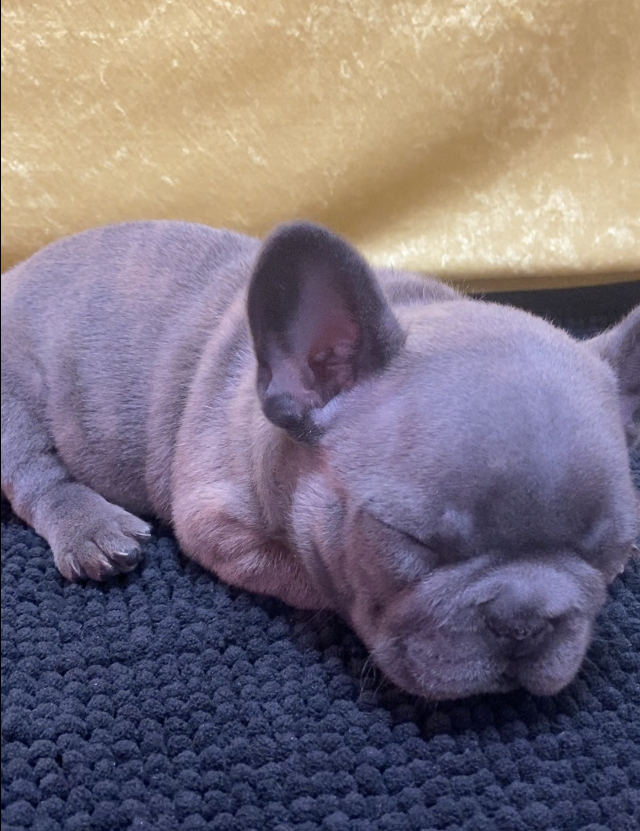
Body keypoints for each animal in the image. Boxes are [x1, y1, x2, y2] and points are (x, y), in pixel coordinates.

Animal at [2, 220, 639, 701]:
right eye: (414, 542)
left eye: (611, 552)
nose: (524, 622)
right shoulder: (216, 524)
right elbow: (316, 579)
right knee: (36, 474)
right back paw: (90, 528)